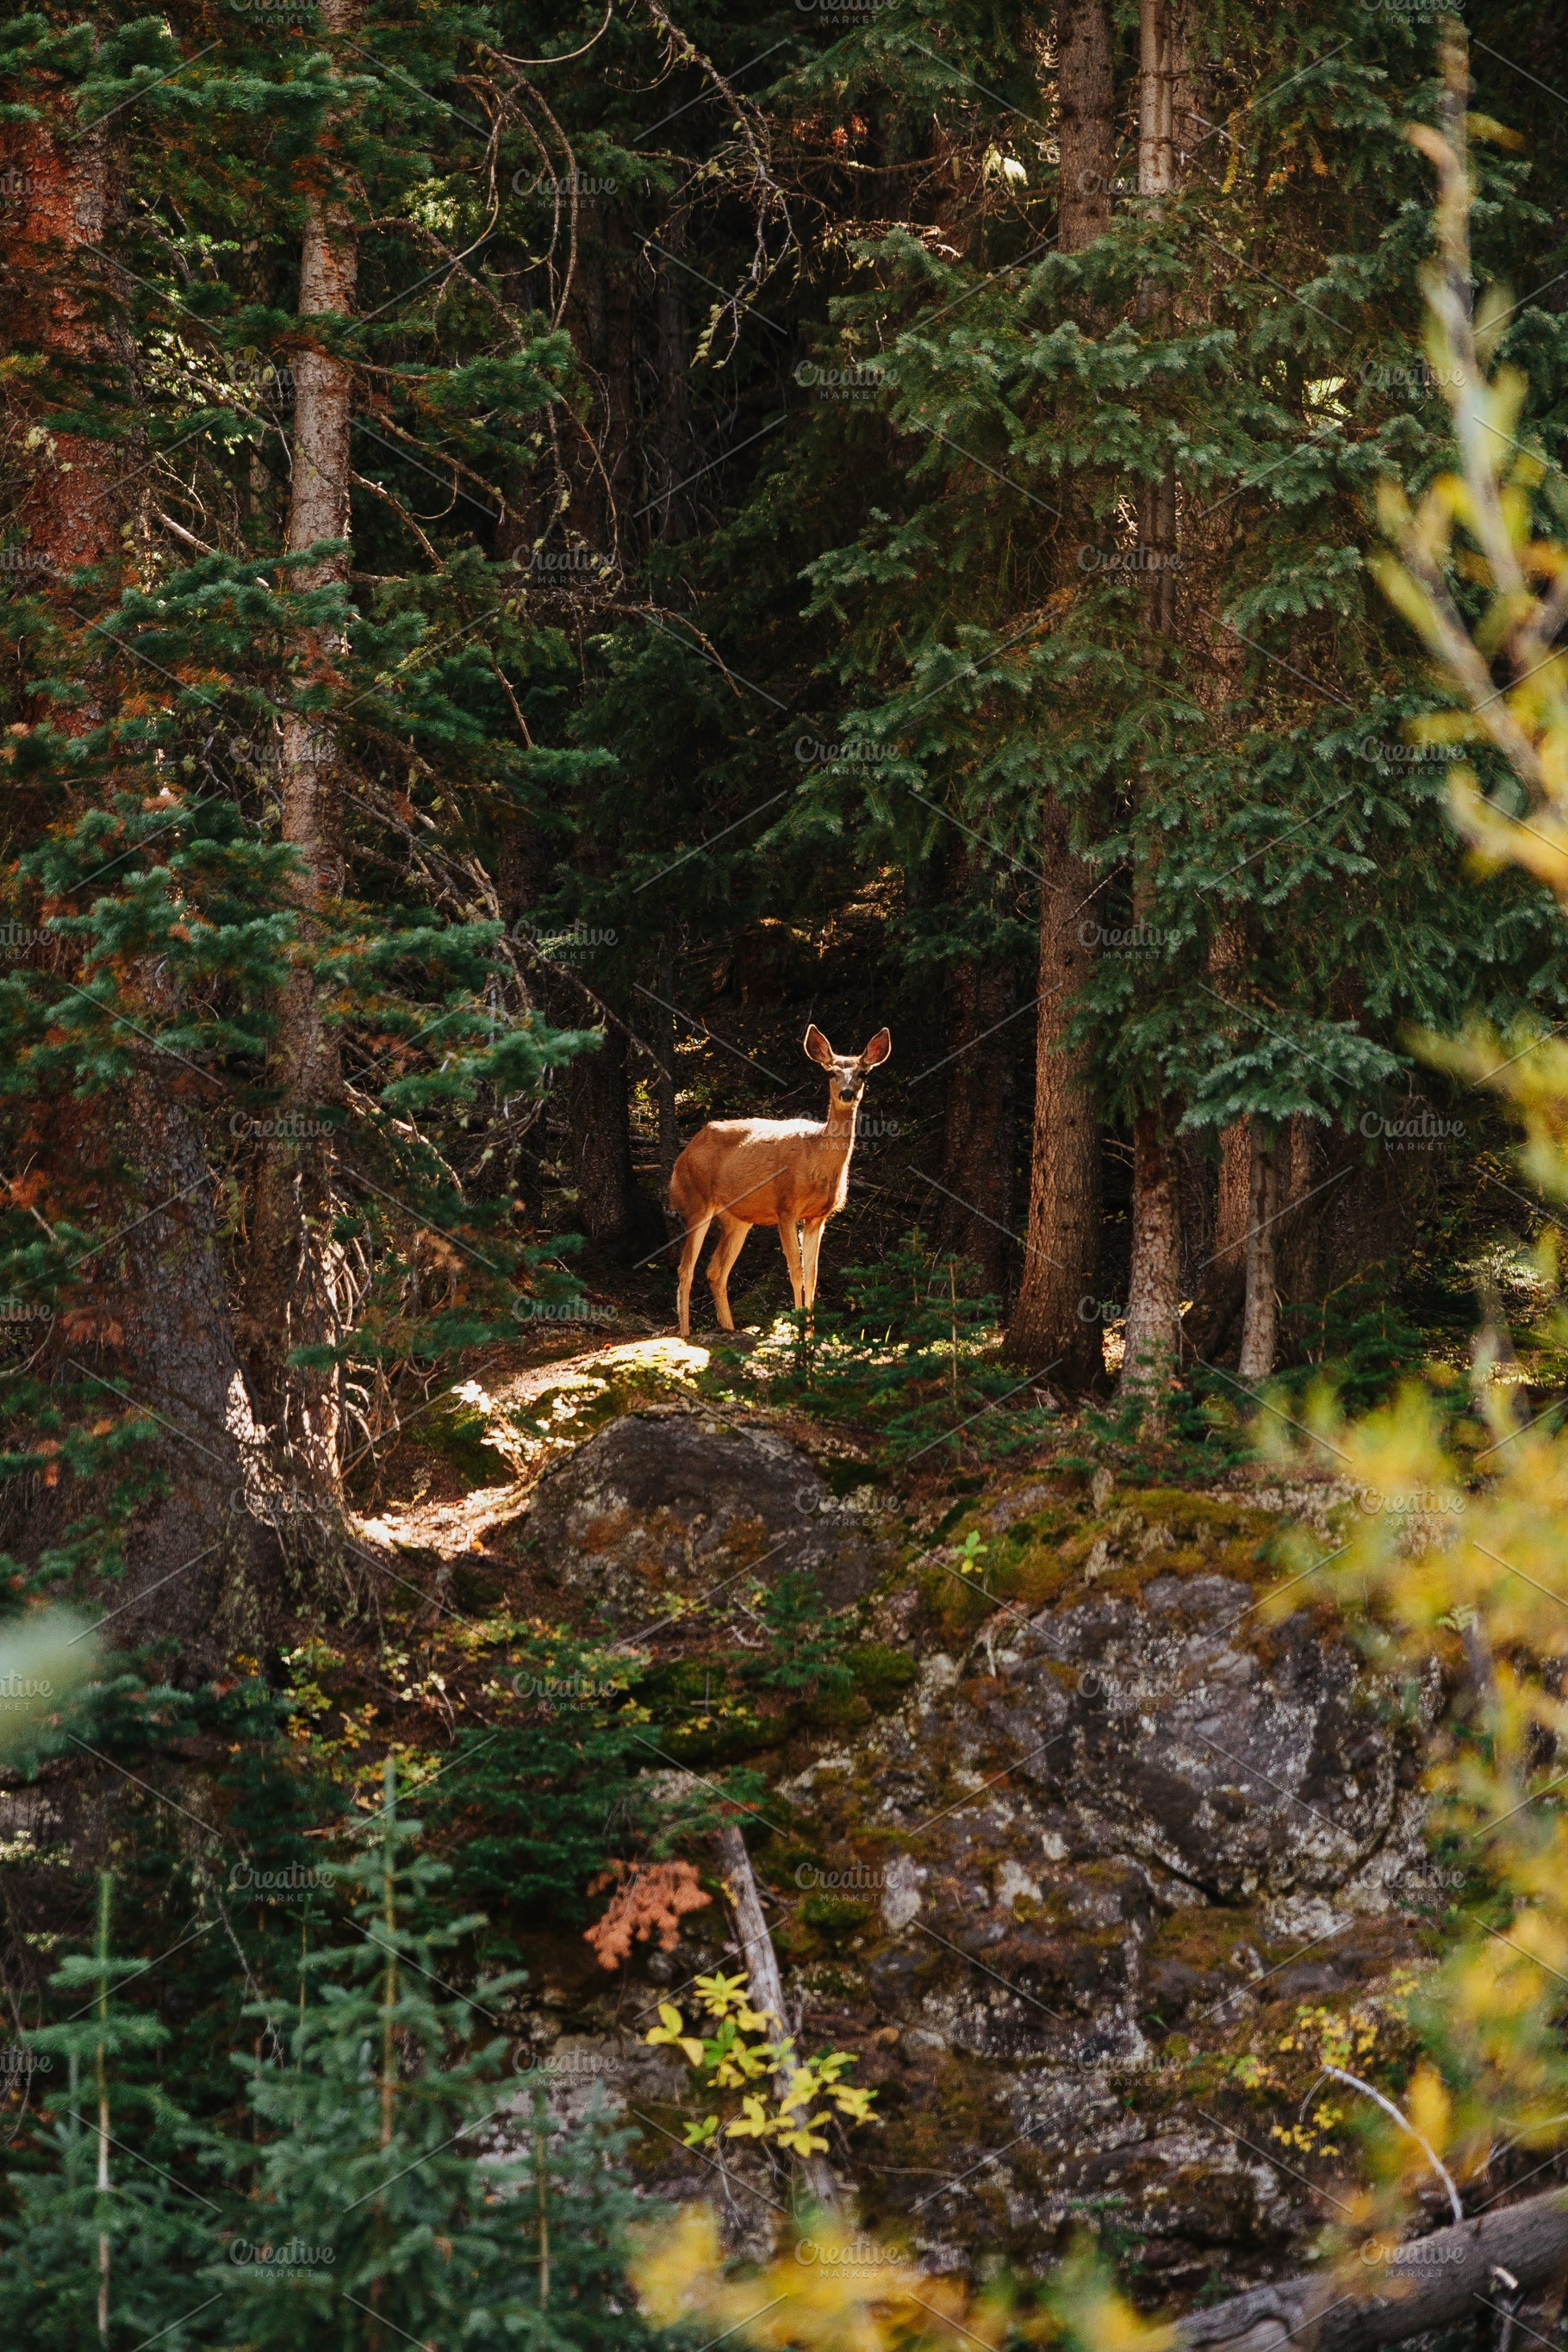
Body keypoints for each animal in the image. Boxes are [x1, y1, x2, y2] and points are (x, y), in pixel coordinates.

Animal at [669, 1024, 892, 1340]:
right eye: (831, 1073)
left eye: (863, 1073)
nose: (847, 1093)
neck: (817, 1160)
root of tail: (683, 1156)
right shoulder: (785, 1207)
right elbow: (795, 1271)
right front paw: (799, 1333)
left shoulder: (818, 1217)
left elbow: (812, 1275)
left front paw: (810, 1336)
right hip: (697, 1200)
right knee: (685, 1268)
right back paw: (686, 1334)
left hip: (738, 1219)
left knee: (715, 1272)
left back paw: (730, 1330)